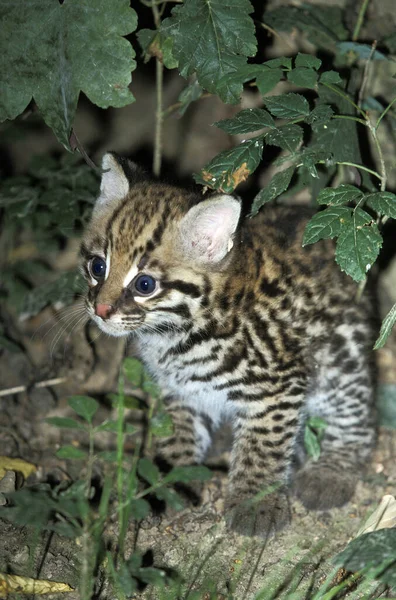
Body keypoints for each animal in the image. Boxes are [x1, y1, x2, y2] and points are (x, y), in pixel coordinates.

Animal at [80, 152, 374, 536]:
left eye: (145, 284)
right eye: (97, 266)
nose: (100, 310)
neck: (175, 333)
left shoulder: (279, 382)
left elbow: (264, 443)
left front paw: (254, 500)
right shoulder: (179, 388)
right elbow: (178, 429)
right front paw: (167, 480)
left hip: (341, 354)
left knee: (357, 415)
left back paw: (332, 471)